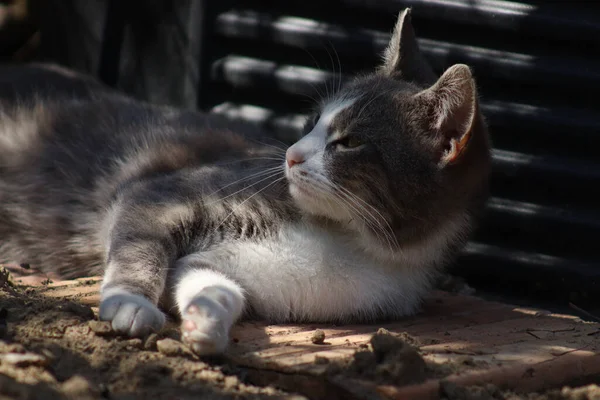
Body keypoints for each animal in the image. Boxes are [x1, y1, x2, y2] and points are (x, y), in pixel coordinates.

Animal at [0, 8, 488, 354]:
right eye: (312, 121)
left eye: (348, 142)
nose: (291, 154)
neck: (351, 238)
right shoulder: (163, 192)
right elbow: (141, 241)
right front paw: (129, 303)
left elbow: (210, 280)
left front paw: (204, 322)